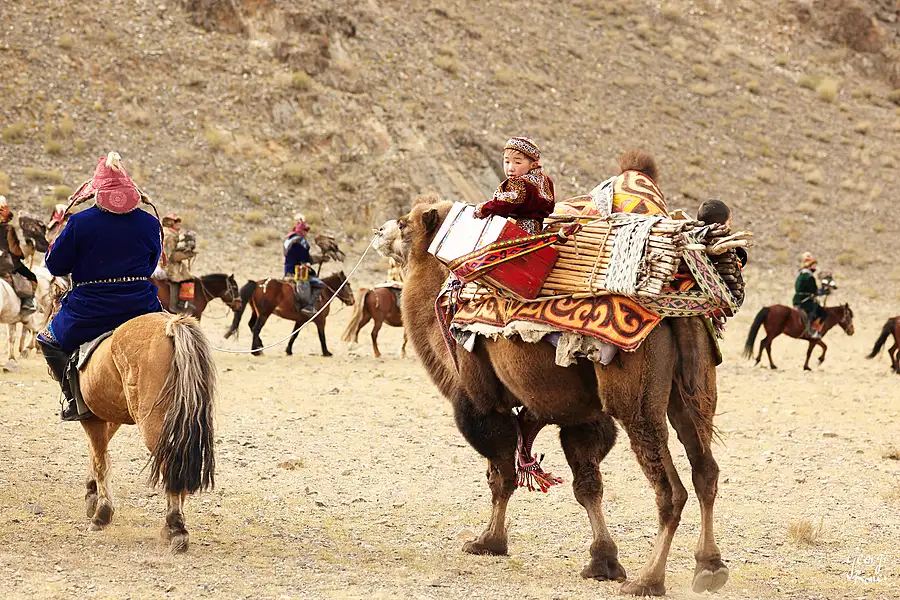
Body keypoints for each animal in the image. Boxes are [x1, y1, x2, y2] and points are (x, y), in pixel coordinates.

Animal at [47, 312, 216, 551]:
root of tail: (171, 326)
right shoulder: (109, 415)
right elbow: (98, 453)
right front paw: (92, 492)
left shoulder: (92, 419)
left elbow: (100, 460)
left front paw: (101, 513)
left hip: (152, 424)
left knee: (170, 465)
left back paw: (176, 528)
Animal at [225, 272, 355, 357]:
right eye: (348, 285)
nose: (352, 301)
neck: (322, 294)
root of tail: (257, 284)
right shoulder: (321, 320)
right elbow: (322, 336)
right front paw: (326, 352)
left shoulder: (300, 320)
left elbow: (294, 335)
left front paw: (288, 350)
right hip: (264, 314)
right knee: (256, 328)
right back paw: (255, 351)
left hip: (256, 312)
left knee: (251, 325)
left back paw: (259, 347)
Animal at [372, 191, 727, 596]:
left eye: (405, 223)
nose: (379, 230)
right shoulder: (575, 414)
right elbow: (587, 484)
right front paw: (603, 561)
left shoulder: (480, 402)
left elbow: (501, 475)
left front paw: (488, 542)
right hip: (695, 392)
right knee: (706, 472)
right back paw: (709, 567)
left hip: (637, 403)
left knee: (671, 490)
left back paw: (648, 580)